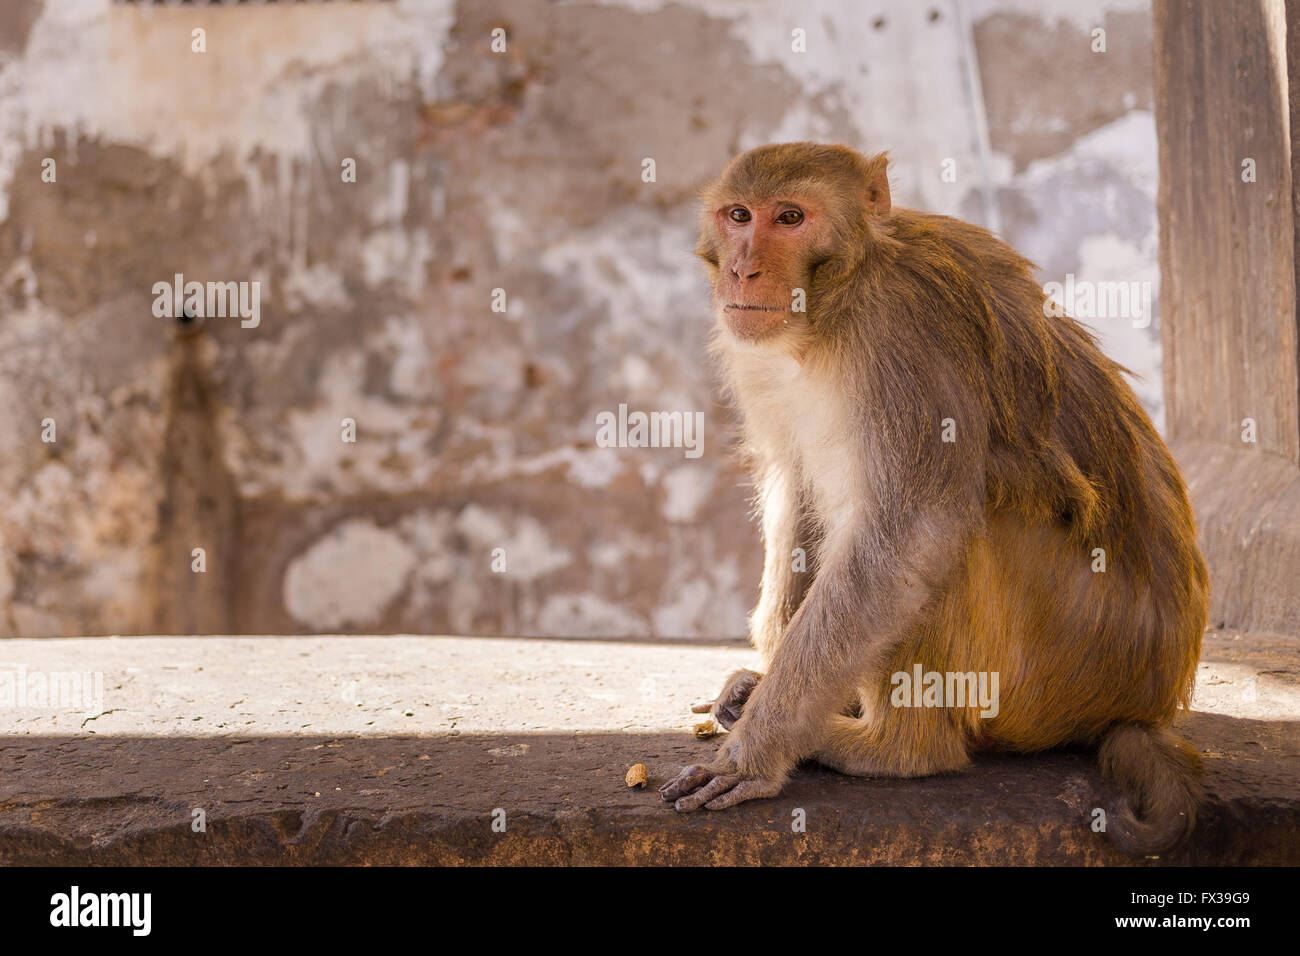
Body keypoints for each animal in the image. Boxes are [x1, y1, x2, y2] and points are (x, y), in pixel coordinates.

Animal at [665, 141, 1211, 858]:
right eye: (738, 215)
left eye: (790, 217)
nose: (742, 268)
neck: (833, 308)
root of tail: (1150, 701)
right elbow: (802, 487)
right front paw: (765, 685)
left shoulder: (903, 336)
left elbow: (908, 537)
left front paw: (758, 748)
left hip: (1075, 666)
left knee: (957, 529)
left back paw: (895, 748)